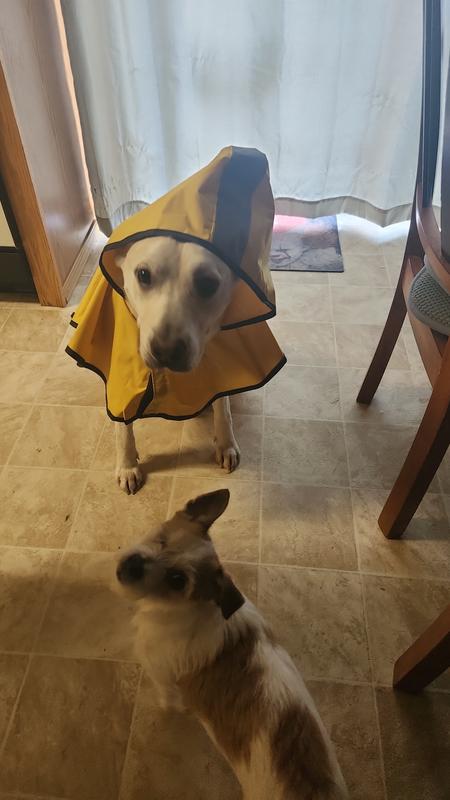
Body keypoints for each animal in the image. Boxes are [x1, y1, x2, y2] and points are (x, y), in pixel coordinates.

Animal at [114, 236, 240, 494]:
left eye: (208, 283)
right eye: (143, 274)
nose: (167, 350)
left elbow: (223, 408)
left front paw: (226, 444)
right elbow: (122, 423)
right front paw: (127, 465)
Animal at [116, 488, 348, 800]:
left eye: (177, 580)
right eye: (162, 538)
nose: (134, 564)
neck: (188, 608)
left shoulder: (160, 673)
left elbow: (168, 698)